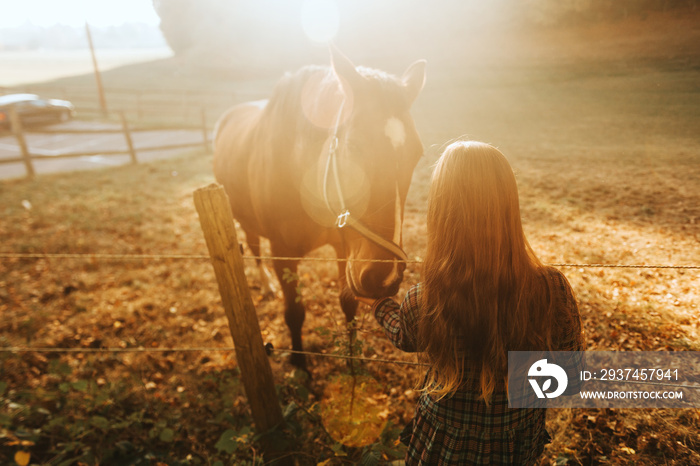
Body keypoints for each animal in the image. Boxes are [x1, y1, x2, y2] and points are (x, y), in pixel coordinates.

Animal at [213, 48, 424, 372]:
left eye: (417, 154)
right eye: (353, 146)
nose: (383, 278)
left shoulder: (344, 248)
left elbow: (348, 304)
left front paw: (353, 362)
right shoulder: (282, 255)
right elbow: (295, 312)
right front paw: (300, 365)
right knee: (253, 247)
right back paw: (267, 285)